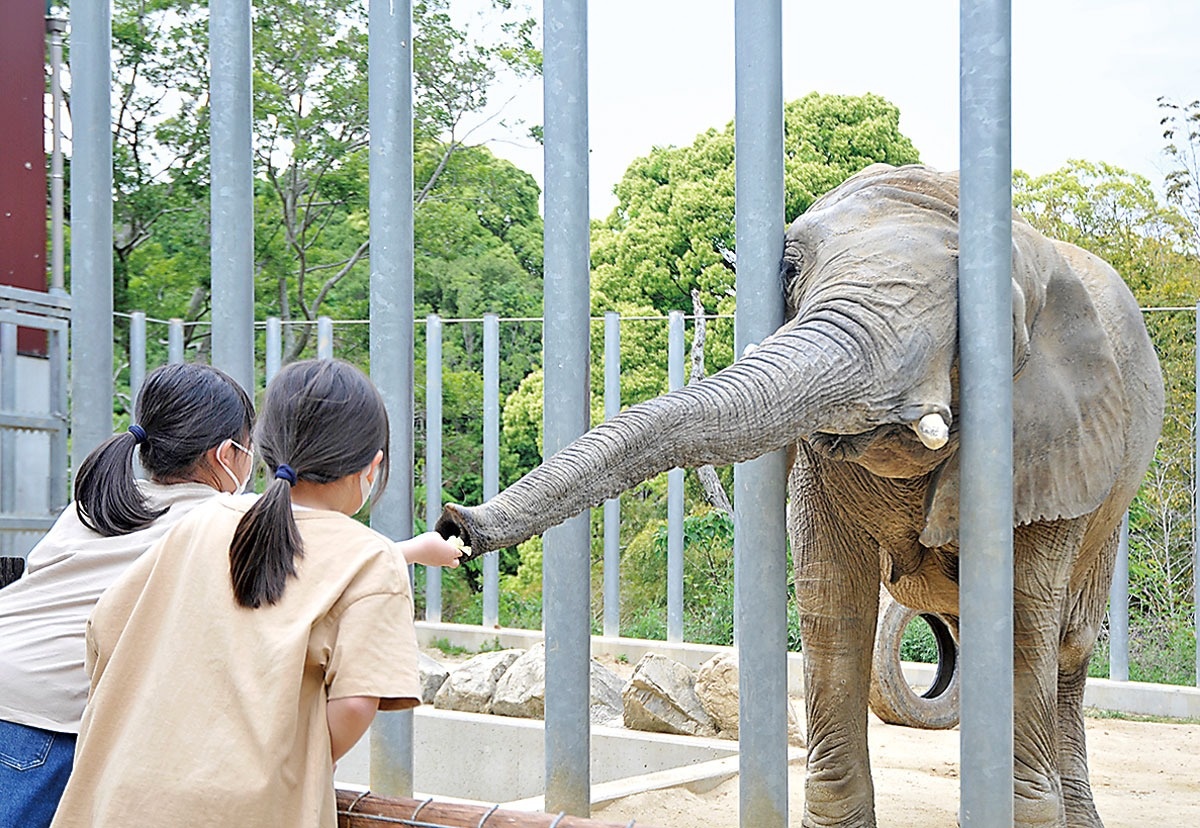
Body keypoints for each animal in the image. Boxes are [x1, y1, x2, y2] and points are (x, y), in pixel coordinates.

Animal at [439, 164, 1161, 820]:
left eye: (997, 322)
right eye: (788, 270)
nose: (453, 524)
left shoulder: (1057, 444)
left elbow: (1022, 616)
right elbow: (834, 602)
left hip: (1111, 503)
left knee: (1067, 645)